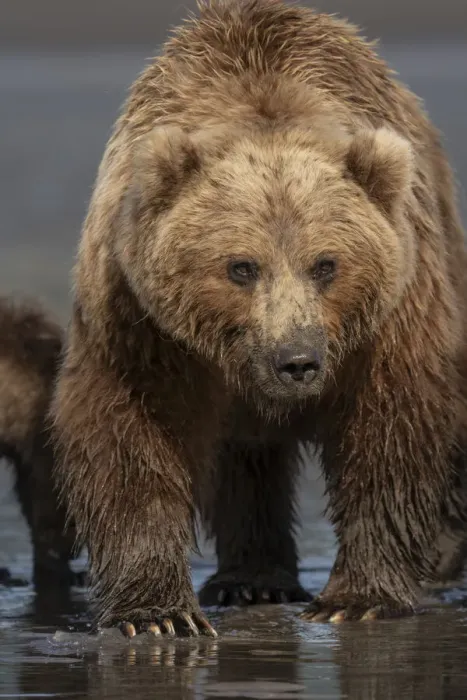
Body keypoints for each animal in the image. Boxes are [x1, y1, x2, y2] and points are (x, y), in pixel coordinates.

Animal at [50, 0, 467, 637]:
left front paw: (357, 597)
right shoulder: (140, 320)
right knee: (246, 459)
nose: (296, 360)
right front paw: (159, 614)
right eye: (241, 266)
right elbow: (127, 433)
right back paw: (250, 579)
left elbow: (392, 426)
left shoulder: (392, 311)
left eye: (326, 263)